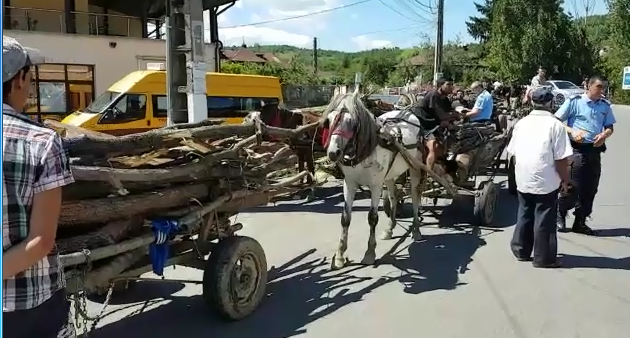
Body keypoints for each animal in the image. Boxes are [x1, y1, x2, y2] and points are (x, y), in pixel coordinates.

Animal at [320, 92, 424, 270]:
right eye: (330, 119)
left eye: (351, 121)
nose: (333, 153)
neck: (365, 150)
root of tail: (407, 112)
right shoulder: (349, 184)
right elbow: (345, 218)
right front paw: (340, 256)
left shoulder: (375, 186)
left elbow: (372, 218)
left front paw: (369, 253)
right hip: (389, 175)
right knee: (393, 197)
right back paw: (390, 228)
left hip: (414, 167)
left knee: (415, 197)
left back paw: (416, 230)